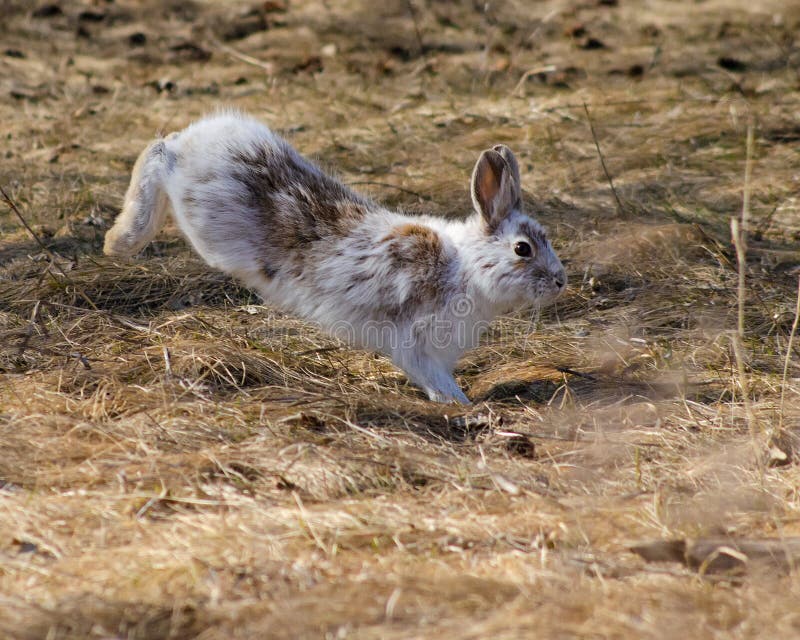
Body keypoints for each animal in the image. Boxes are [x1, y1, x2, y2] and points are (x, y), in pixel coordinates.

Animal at [104, 111, 566, 404]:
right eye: (523, 249)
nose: (560, 282)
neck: (465, 267)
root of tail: (202, 137)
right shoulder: (414, 341)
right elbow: (434, 378)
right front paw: (460, 404)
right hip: (203, 221)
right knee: (158, 152)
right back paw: (120, 239)